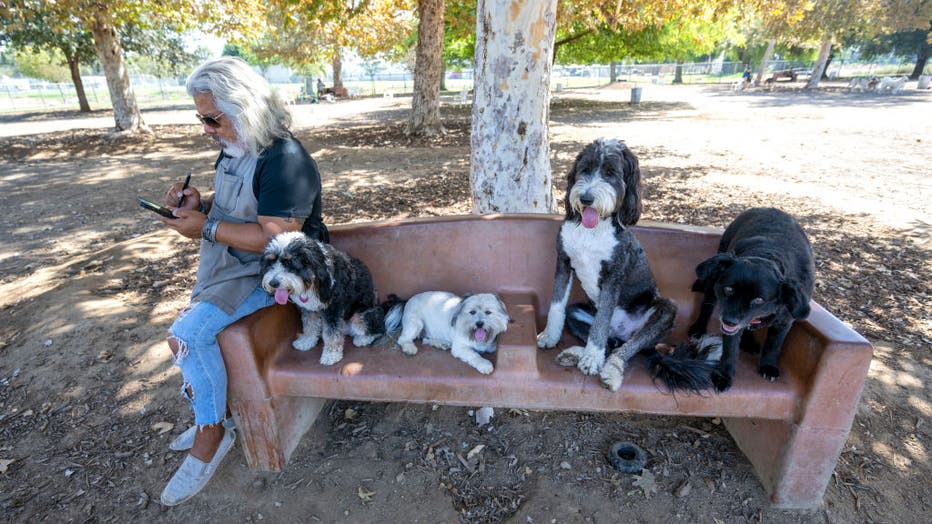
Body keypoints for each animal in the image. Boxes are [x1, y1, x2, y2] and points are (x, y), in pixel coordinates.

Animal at [258, 231, 386, 366]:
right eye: (270, 262)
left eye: (289, 262)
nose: (273, 283)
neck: (312, 278)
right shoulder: (308, 309)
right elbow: (309, 325)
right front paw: (307, 341)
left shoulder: (333, 309)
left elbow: (331, 333)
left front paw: (331, 355)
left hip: (362, 314)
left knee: (377, 328)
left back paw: (363, 339)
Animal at [536, 137, 680, 390]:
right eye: (584, 169)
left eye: (611, 173)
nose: (586, 198)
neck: (591, 231)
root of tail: (622, 331)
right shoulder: (563, 262)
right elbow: (557, 306)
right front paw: (550, 336)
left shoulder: (614, 277)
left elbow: (601, 321)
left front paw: (592, 360)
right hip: (578, 312)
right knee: (610, 342)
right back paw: (577, 353)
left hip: (665, 311)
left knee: (626, 347)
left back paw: (610, 369)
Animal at [684, 207, 816, 390]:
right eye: (728, 289)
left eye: (759, 300)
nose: (729, 321)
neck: (767, 256)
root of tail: (767, 208)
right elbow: (730, 350)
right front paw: (724, 375)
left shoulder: (784, 321)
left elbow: (773, 345)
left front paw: (768, 366)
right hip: (712, 281)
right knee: (707, 306)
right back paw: (698, 328)